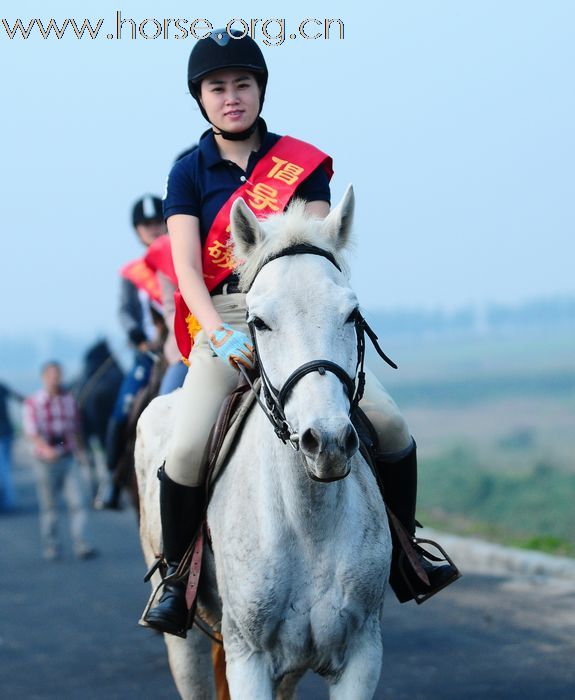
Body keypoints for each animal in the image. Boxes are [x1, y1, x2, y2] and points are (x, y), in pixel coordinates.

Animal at [137, 186, 394, 700]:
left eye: (351, 313)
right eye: (258, 321)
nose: (327, 441)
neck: (310, 520)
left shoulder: (362, 655)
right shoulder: (249, 659)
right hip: (186, 644)